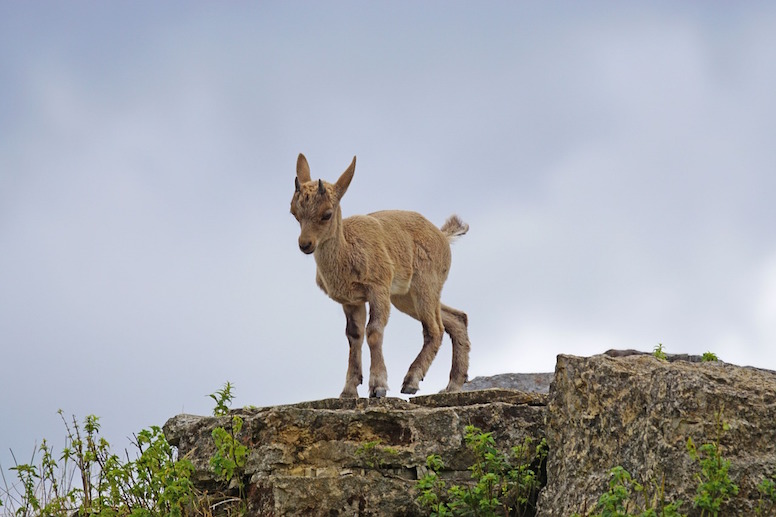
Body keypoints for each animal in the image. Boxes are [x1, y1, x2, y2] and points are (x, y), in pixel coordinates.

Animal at [292, 151, 472, 398]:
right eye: (294, 213)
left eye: (327, 214)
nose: (305, 244)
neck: (347, 251)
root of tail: (443, 236)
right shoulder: (351, 300)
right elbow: (354, 336)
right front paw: (348, 390)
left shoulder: (378, 288)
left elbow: (374, 330)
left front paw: (378, 386)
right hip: (404, 297)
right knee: (456, 318)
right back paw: (453, 384)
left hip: (425, 285)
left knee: (435, 328)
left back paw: (411, 381)